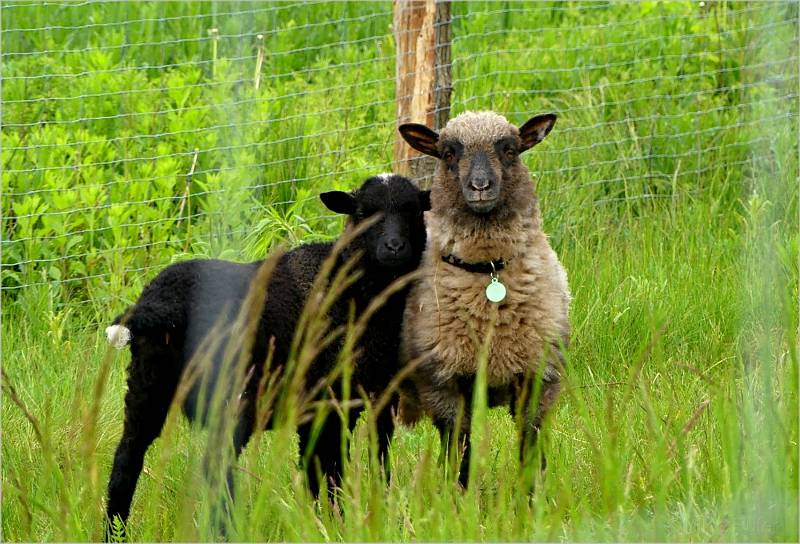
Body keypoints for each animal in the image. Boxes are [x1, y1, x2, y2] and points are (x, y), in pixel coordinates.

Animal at [104, 174, 432, 536]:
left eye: (414, 210)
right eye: (362, 214)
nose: (394, 247)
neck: (357, 288)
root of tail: (158, 307)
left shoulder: (369, 395)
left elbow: (359, 460)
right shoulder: (332, 399)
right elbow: (331, 466)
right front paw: (335, 521)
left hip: (146, 385)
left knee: (127, 458)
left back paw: (115, 532)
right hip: (231, 396)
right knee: (215, 466)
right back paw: (226, 530)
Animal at [396, 110, 572, 488]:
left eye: (510, 149)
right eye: (448, 153)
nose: (480, 186)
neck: (488, 271)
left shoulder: (538, 379)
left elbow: (531, 449)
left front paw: (533, 496)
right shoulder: (443, 386)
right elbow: (458, 453)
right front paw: (459, 497)